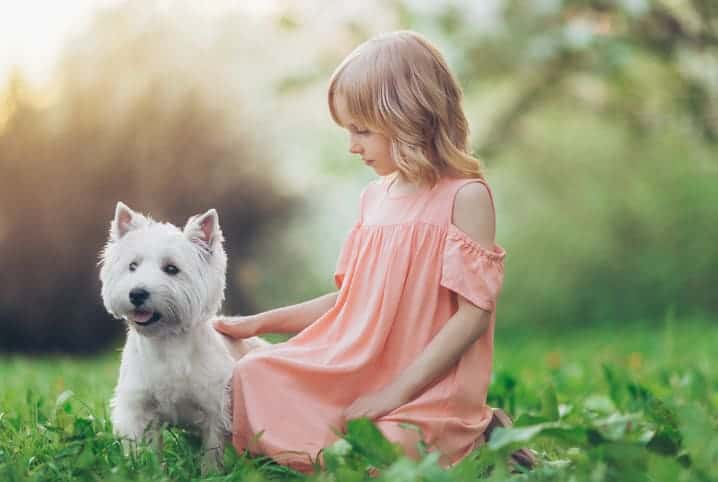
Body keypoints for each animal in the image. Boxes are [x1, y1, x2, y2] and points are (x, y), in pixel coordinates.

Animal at [97, 201, 262, 472]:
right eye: (132, 266)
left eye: (171, 269)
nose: (137, 293)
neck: (166, 342)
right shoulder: (137, 406)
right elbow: (141, 448)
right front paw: (143, 470)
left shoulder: (216, 408)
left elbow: (212, 450)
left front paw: (210, 473)